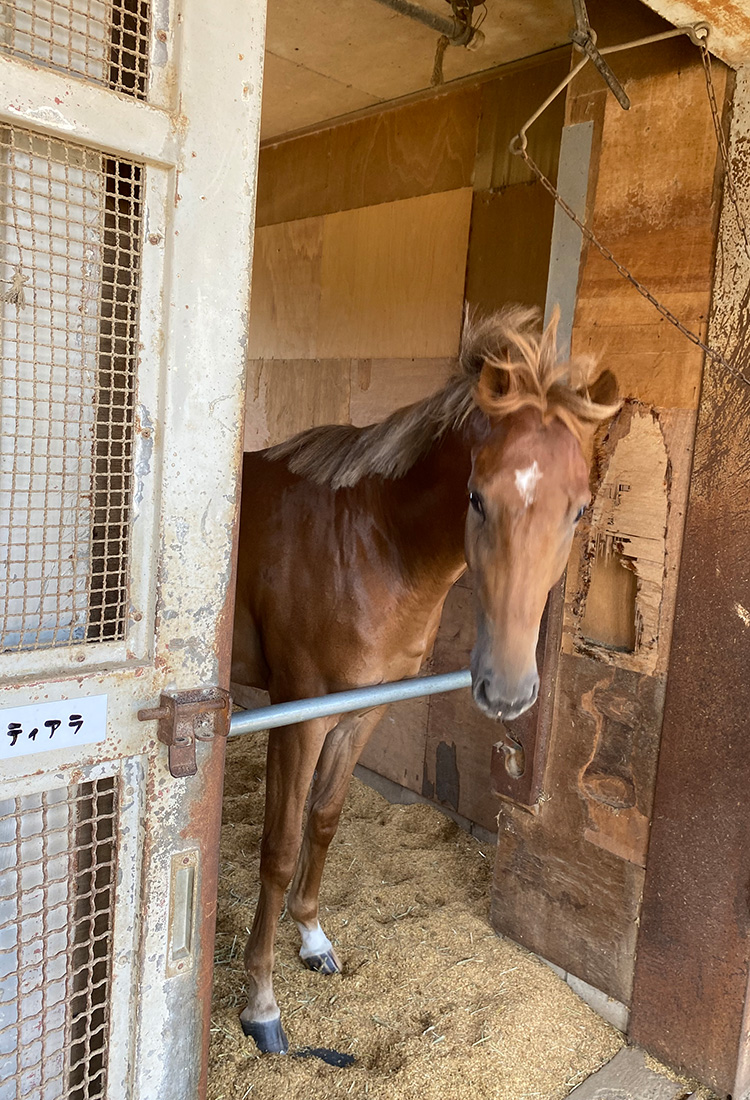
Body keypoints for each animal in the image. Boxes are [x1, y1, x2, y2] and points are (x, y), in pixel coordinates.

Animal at [230, 306, 618, 1053]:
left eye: (579, 509)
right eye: (476, 497)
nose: (506, 689)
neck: (365, 543)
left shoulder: (362, 712)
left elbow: (325, 820)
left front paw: (312, 937)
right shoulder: (300, 717)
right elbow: (280, 848)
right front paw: (261, 1003)